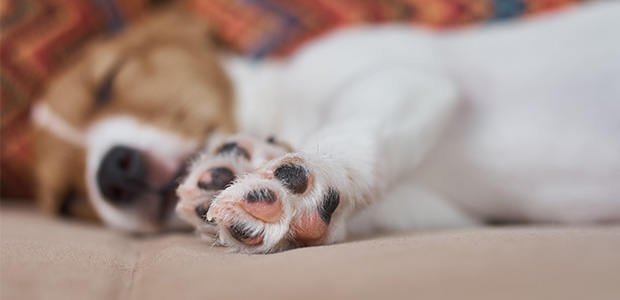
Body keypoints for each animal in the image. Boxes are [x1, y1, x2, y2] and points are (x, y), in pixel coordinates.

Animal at [34, 3, 620, 252]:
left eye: (108, 82)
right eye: (68, 199)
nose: (112, 173)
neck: (289, 110)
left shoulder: (409, 78)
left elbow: (355, 132)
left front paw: (297, 182)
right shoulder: (436, 207)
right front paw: (233, 168)